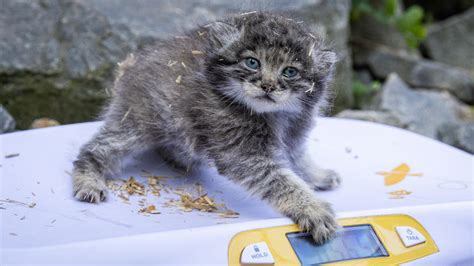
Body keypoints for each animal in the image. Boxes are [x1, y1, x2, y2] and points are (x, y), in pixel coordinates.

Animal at [72, 13, 340, 245]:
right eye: (252, 62)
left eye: (290, 72)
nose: (267, 86)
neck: (276, 116)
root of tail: (129, 65)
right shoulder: (244, 156)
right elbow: (282, 182)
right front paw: (312, 209)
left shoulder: (295, 133)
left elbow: (298, 159)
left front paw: (317, 176)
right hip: (136, 122)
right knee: (94, 149)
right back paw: (88, 181)